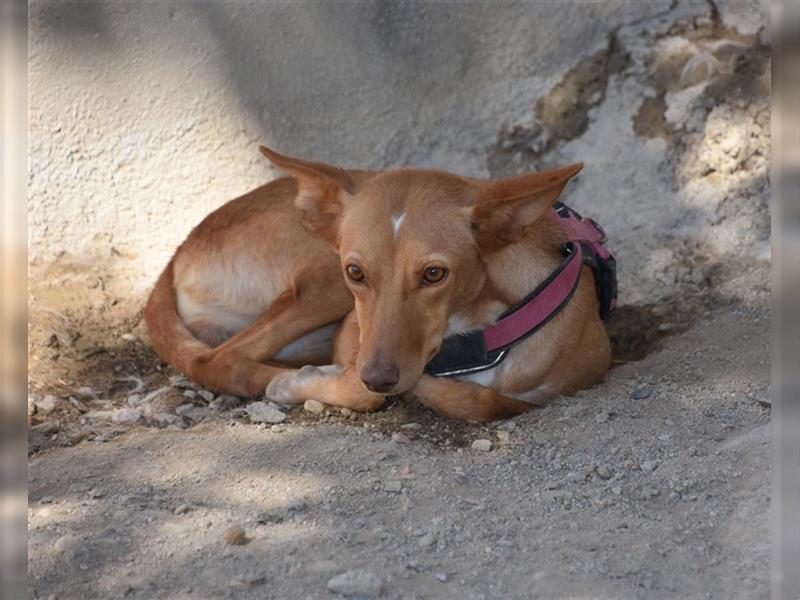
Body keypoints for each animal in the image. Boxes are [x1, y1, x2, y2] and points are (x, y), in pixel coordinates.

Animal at [144, 148, 612, 422]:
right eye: (357, 272)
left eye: (434, 273)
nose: (379, 378)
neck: (479, 334)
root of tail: (180, 250)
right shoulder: (355, 336)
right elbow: (365, 390)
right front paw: (308, 383)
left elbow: (488, 402)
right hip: (323, 282)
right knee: (219, 360)